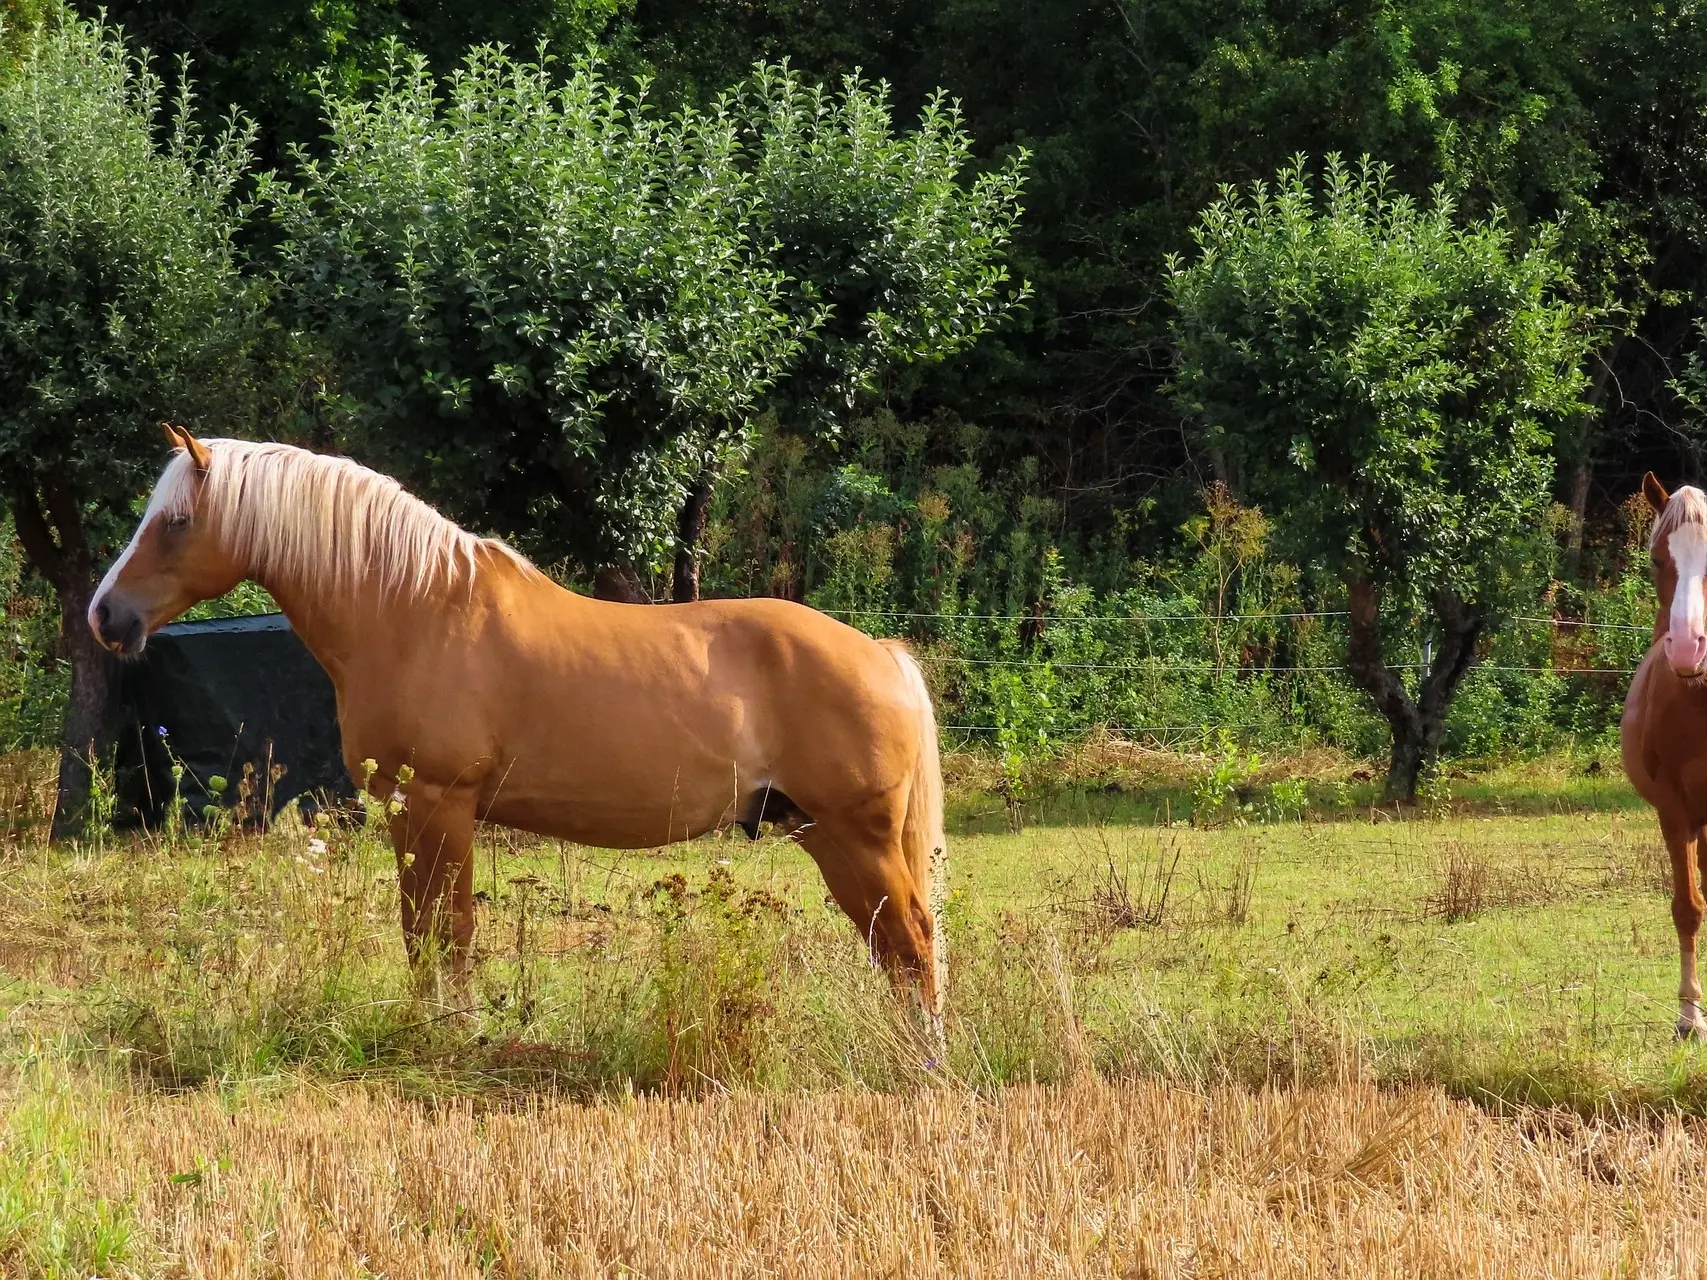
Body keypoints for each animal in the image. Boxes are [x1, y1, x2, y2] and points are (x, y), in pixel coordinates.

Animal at [90, 431, 949, 1024]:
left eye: (176, 521)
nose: (107, 616)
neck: (415, 609)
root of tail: (879, 652)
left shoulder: (440, 806)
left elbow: (450, 930)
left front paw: (453, 1031)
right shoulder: (407, 813)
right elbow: (420, 930)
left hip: (855, 835)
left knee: (911, 941)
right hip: (822, 834)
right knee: (893, 946)